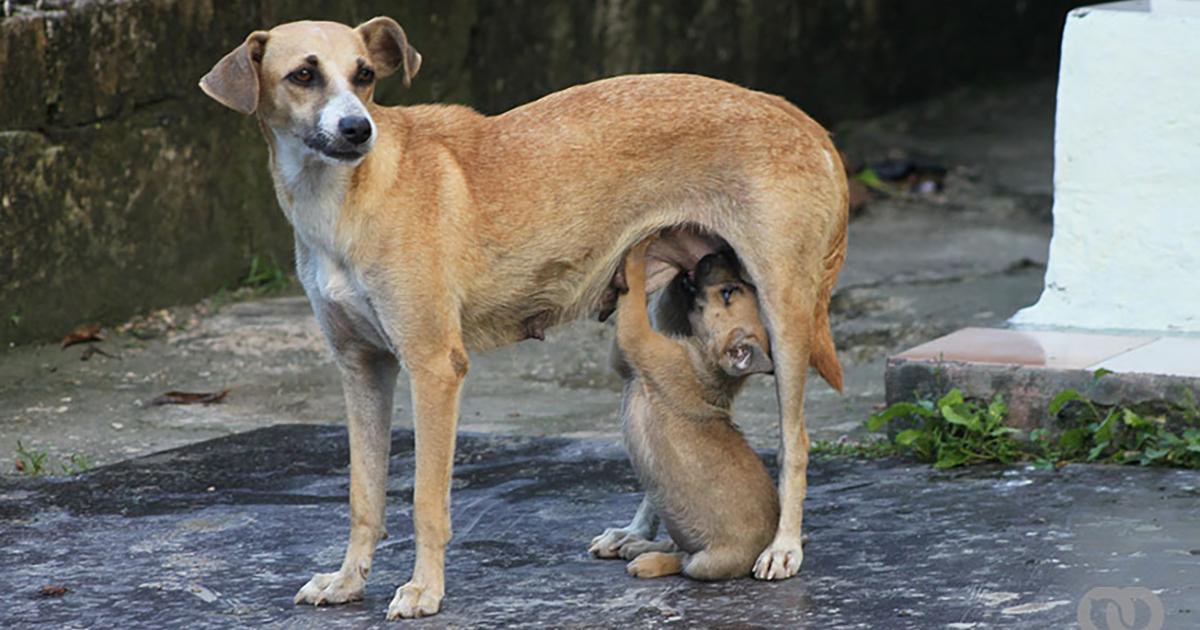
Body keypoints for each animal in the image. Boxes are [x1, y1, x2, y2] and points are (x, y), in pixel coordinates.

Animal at [597, 237, 777, 580]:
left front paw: (639, 248)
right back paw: (636, 544)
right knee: (674, 546)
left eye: (728, 293)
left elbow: (634, 293)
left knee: (682, 561)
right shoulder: (625, 363)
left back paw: (647, 560)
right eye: (738, 287)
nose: (720, 252)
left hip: (707, 563)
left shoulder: (639, 338)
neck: (708, 361)